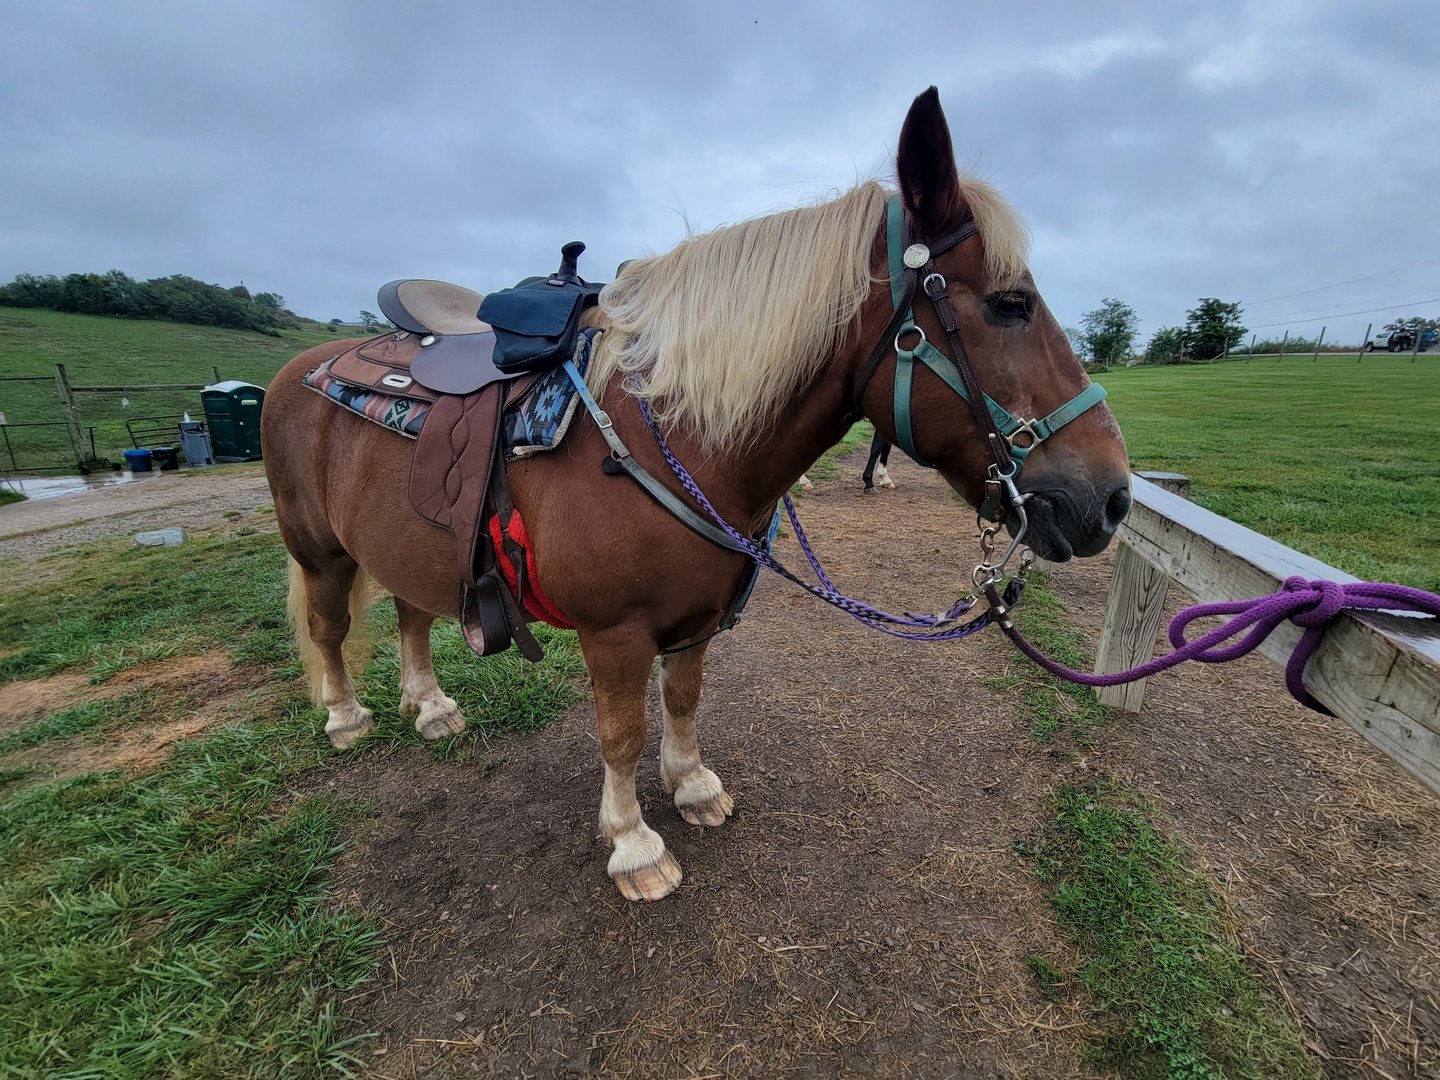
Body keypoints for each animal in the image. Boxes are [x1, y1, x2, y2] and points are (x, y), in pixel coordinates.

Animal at [261, 87, 1131, 902]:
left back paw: (431, 705)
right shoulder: (613, 633)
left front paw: (691, 787)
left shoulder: (697, 616)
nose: (1113, 500)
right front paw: (634, 845)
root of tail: (297, 369)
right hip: (321, 549)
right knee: (330, 626)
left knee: (412, 614)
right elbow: (620, 733)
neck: (673, 438)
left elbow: (682, 698)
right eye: (1011, 303)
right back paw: (345, 717)